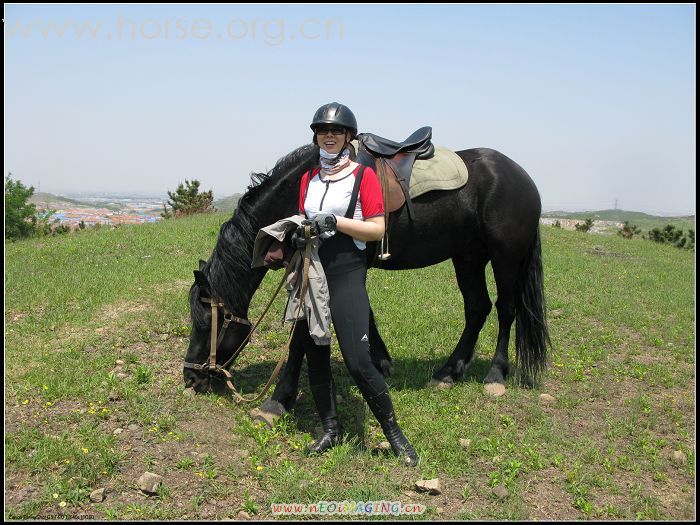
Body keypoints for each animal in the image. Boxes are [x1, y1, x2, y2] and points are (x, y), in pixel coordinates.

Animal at [185, 144, 552, 414]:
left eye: (205, 324)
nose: (190, 377)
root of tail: (521, 176)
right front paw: (382, 361)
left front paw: (280, 399)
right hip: (468, 257)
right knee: (477, 308)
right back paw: (449, 371)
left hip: (505, 257)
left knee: (506, 309)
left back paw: (496, 374)